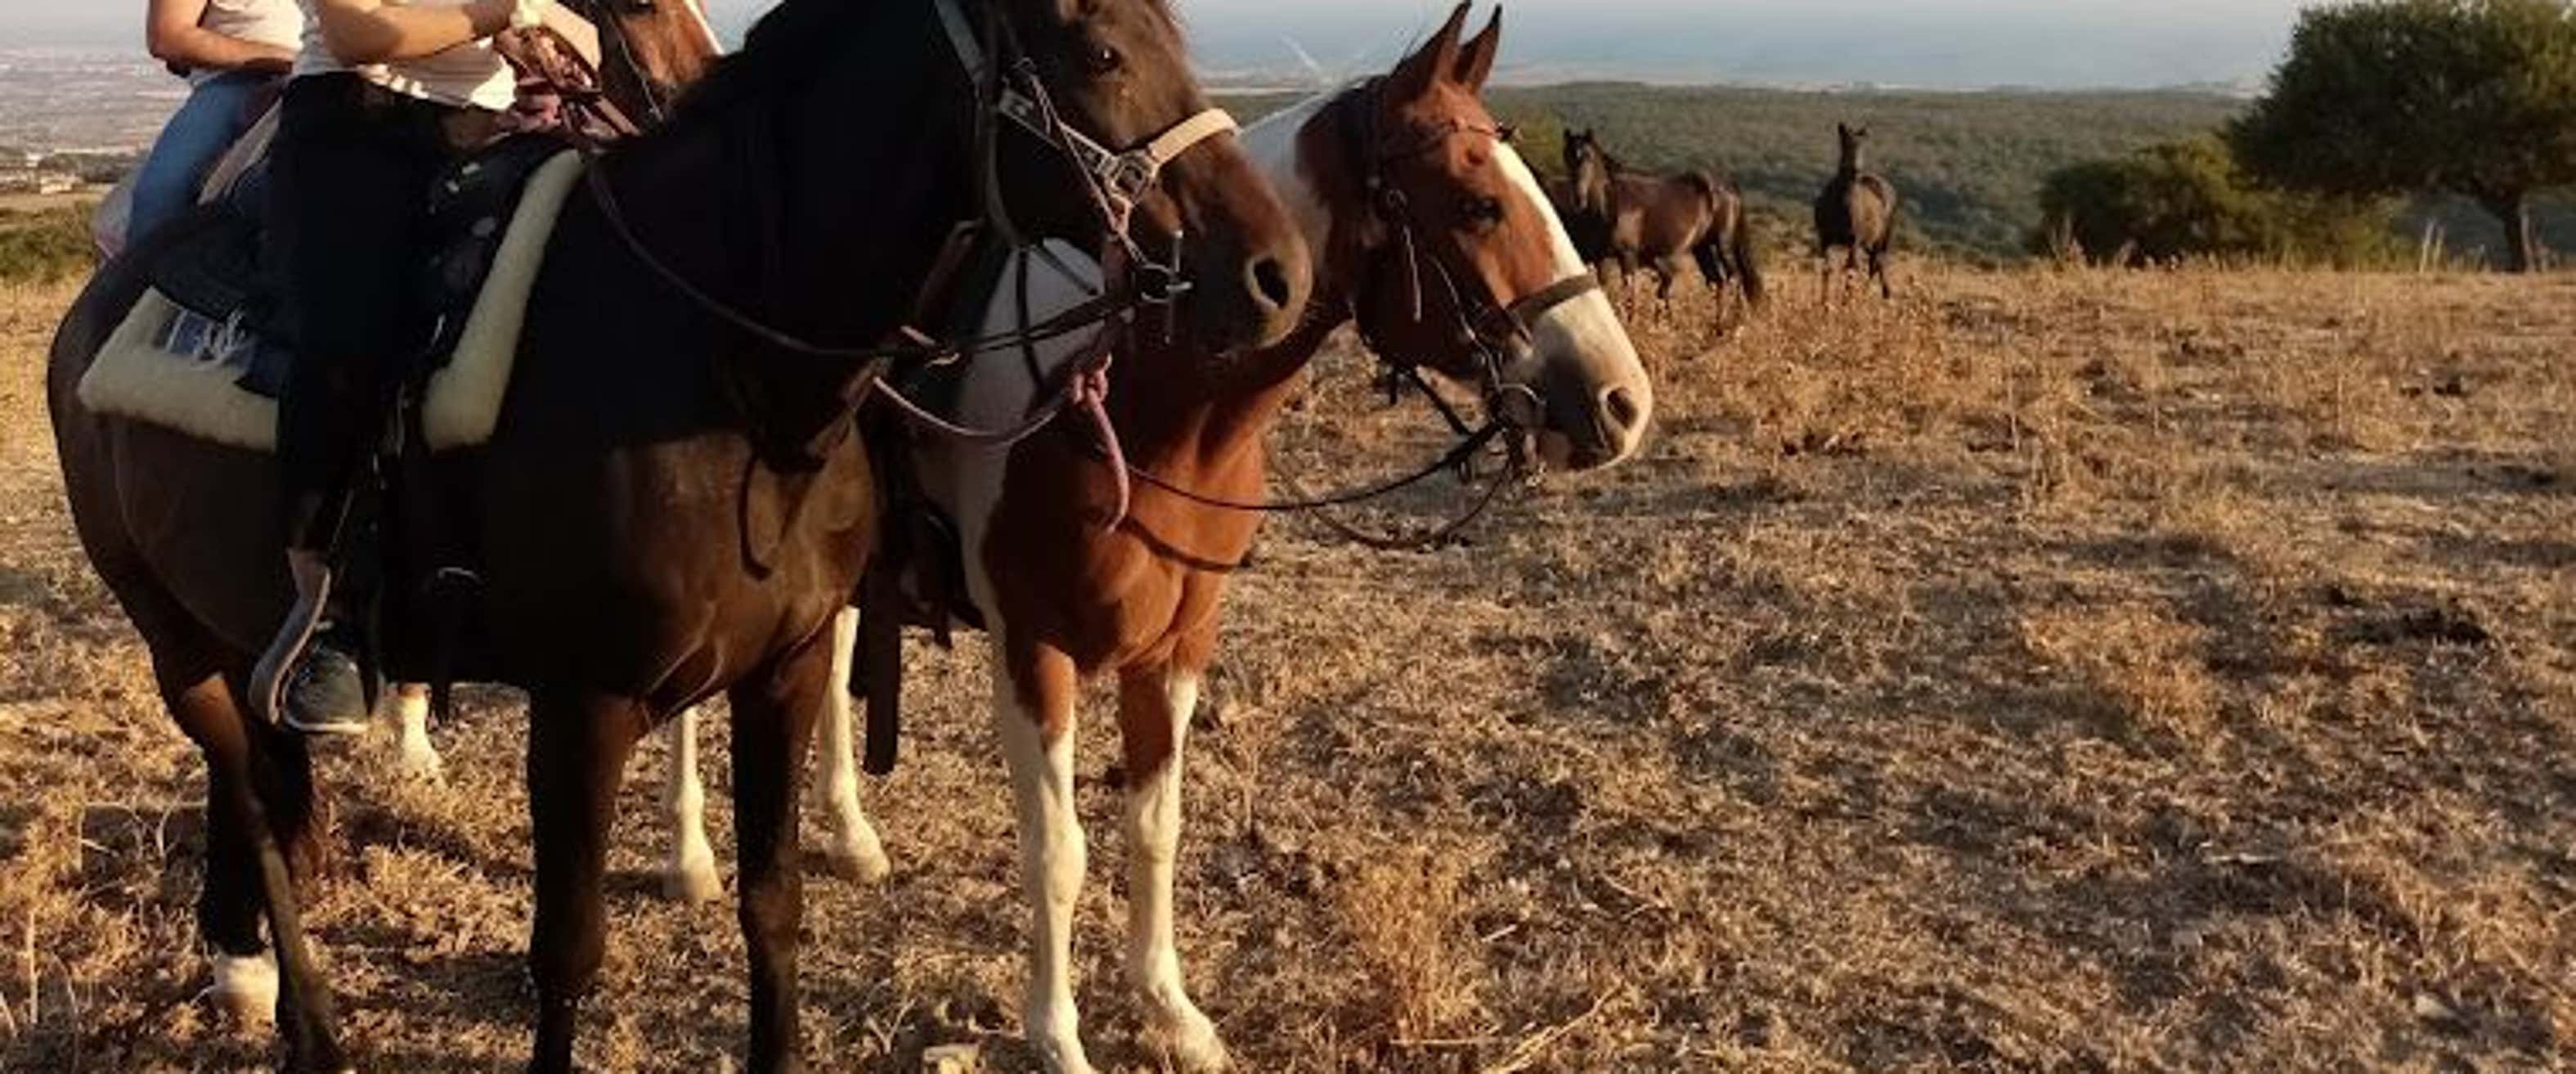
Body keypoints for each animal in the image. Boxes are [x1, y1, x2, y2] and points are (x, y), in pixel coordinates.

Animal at [45, 0, 1313, 1069]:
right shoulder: (582, 702)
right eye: (1095, 49)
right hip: (173, 640)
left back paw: (251, 974)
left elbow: (774, 904)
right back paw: (298, 1014)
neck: (725, 355)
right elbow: (568, 948)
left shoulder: (785, 669)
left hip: (236, 616)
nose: (1274, 272)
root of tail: (106, 293)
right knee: (249, 790)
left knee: (261, 775)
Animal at [646, 6, 1651, 1070]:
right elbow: (1058, 851)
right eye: (1476, 206)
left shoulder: (1175, 647)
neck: (1145, 404)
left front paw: (1170, 1008)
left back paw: (849, 831)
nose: (1621, 402)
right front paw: (1057, 1035)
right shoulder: (1033, 649)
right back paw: (689, 855)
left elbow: (1153, 826)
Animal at [1556, 126, 1765, 325]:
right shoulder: (1600, 259)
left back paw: (1734, 326)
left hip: (1723, 243)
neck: (1611, 205)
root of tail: (1727, 186)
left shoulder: (1628, 257)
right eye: (1567, 157)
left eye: (1589, 157)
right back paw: (1716, 328)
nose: (1579, 200)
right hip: (1702, 248)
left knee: (1735, 278)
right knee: (1717, 282)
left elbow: (1630, 299)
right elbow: (1603, 292)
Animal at [1813, 121, 1897, 301]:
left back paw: (1880, 294)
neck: (1840, 203)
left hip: (1882, 237)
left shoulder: (1854, 240)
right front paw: (1824, 302)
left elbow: (1851, 269)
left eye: (1863, 145)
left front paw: (1846, 302)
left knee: (1877, 262)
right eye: (1844, 142)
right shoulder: (1825, 238)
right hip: (1868, 242)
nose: (1854, 169)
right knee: (1874, 263)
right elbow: (1827, 269)